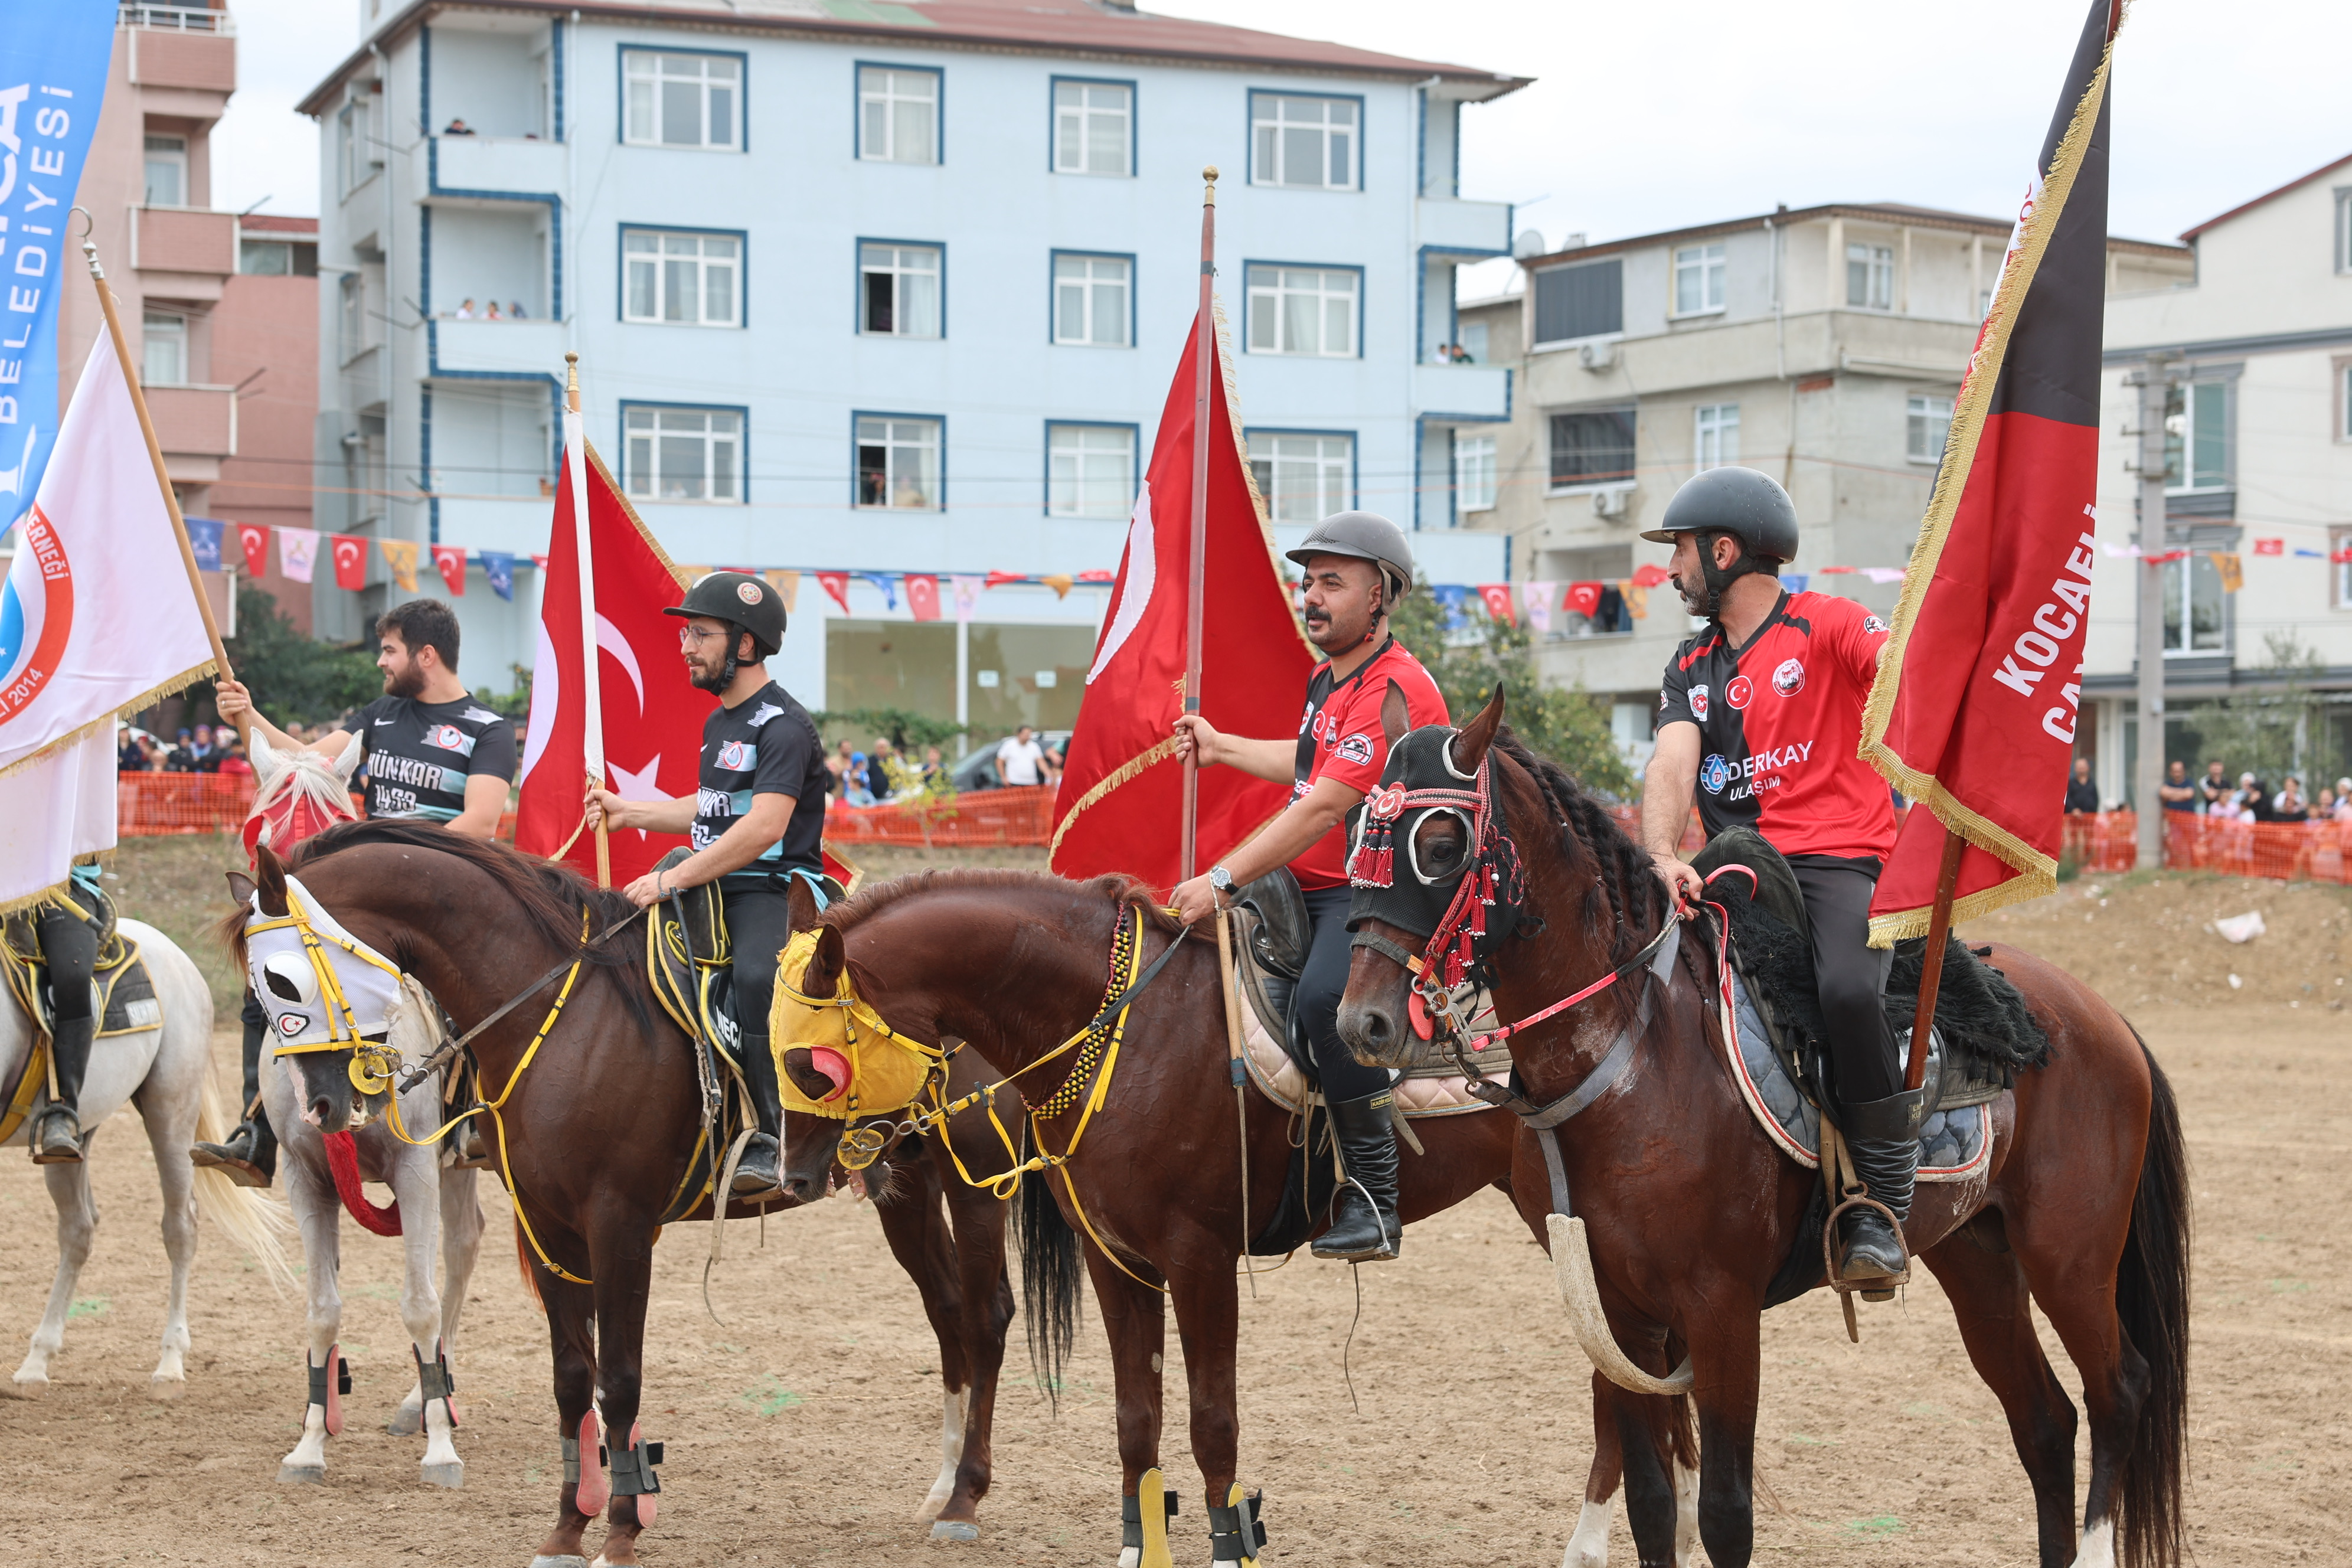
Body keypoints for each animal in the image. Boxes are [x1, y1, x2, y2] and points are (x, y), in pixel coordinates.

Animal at [2, 921, 296, 1401]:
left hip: (170, 1113)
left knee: (180, 1227)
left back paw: (170, 1363)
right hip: (76, 1133)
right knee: (78, 1230)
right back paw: (36, 1362)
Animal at [227, 827, 1021, 1561]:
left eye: (284, 982)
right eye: (257, 996)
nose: (322, 1104)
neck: (564, 1012)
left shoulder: (621, 1223)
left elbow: (621, 1380)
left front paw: (621, 1530)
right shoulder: (547, 1225)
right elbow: (573, 1378)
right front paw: (566, 1529)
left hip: (978, 1180)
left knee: (986, 1317)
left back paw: (967, 1498)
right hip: (905, 1185)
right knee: (947, 1311)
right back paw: (940, 1485)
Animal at [790, 870, 1524, 1561]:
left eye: (808, 1066)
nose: (793, 1173)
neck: (1129, 1027)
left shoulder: (1201, 1260)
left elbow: (1213, 1424)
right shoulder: (1115, 1256)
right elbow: (1136, 1418)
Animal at [1335, 695, 2192, 1568]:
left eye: (1441, 843)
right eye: (1356, 836)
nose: (1361, 1023)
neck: (1632, 1051)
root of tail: (2099, 1015)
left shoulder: (1721, 1311)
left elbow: (1724, 1514)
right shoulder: (1618, 1312)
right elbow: (1652, 1502)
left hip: (2070, 1257)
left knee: (2119, 1392)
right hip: (1977, 1258)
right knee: (2046, 1424)